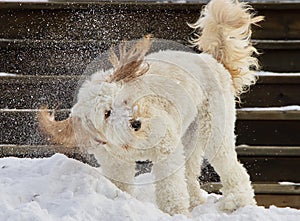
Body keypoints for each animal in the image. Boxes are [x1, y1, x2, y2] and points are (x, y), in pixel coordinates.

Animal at [38, 0, 262, 216]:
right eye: (107, 114)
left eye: (124, 100)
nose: (136, 122)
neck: (131, 142)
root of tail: (213, 61)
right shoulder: (115, 164)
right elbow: (121, 184)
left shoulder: (166, 149)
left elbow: (170, 186)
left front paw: (175, 212)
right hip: (190, 135)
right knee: (190, 172)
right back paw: (195, 202)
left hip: (215, 128)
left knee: (231, 166)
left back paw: (237, 201)